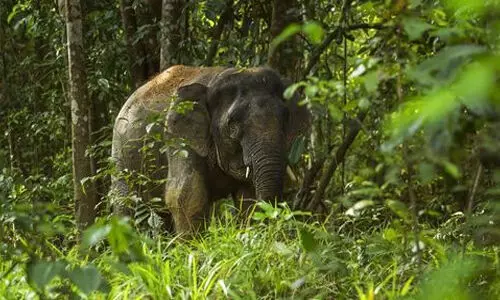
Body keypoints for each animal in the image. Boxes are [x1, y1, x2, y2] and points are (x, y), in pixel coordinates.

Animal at [111, 65, 310, 234]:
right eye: (232, 125)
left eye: (285, 119)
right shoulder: (178, 136)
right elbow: (184, 194)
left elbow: (248, 197)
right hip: (120, 155)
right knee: (125, 204)